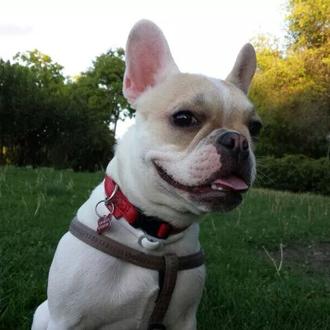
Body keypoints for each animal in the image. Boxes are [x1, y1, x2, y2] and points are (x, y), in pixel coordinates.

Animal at [32, 20, 262, 330]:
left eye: (256, 127)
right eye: (184, 118)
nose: (238, 141)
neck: (151, 233)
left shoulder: (184, 320)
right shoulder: (65, 320)